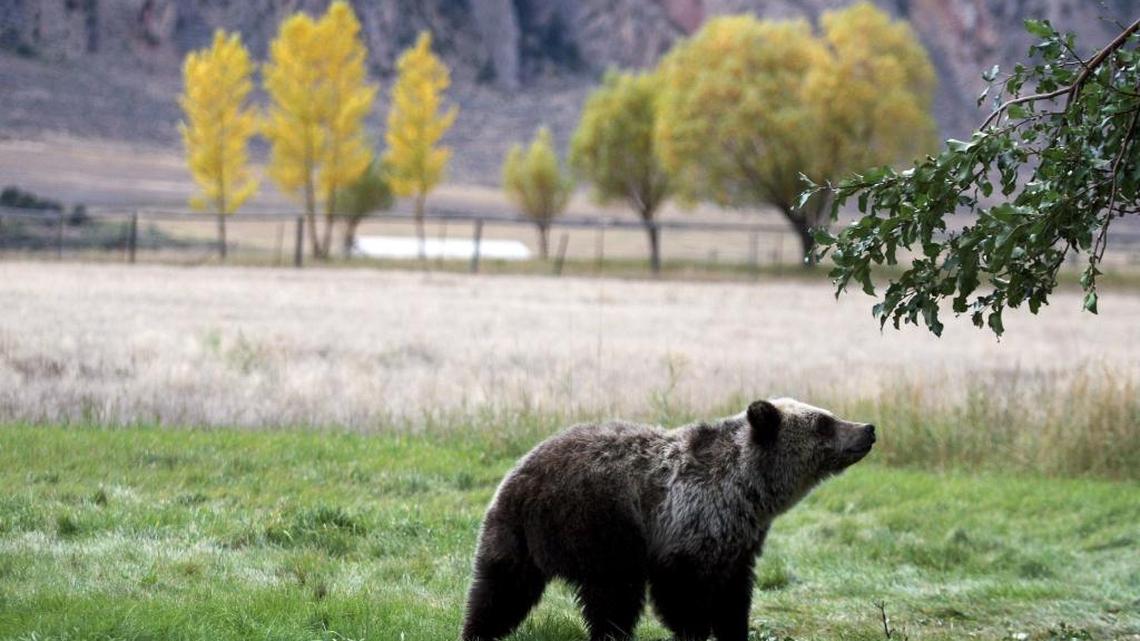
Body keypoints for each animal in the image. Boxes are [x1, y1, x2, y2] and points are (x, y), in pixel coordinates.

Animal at [460, 398, 876, 641]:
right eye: (823, 422)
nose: (868, 429)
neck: (750, 491)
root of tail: (522, 476)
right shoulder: (688, 522)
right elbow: (682, 594)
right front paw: (695, 631)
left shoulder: (740, 541)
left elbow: (734, 595)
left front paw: (733, 630)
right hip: (600, 523)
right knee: (614, 595)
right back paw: (611, 634)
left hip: (513, 535)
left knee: (499, 588)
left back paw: (478, 630)